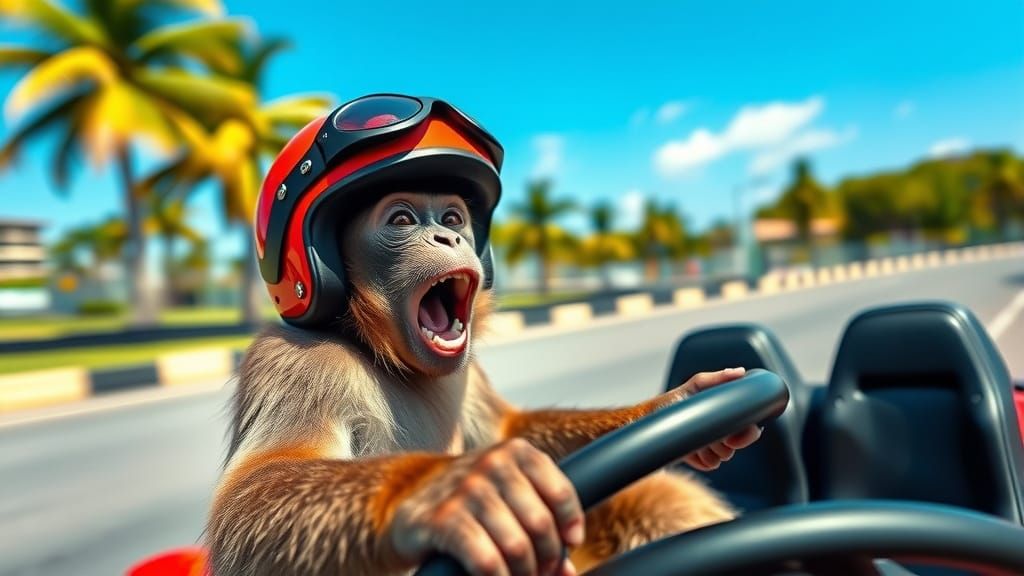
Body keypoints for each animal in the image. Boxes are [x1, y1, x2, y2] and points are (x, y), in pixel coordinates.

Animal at [206, 187, 761, 576]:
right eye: (402, 220)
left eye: (453, 219)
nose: (449, 238)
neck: (381, 352)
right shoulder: (296, 364)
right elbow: (259, 486)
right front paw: (447, 490)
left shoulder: (467, 377)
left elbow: (505, 431)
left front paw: (675, 403)